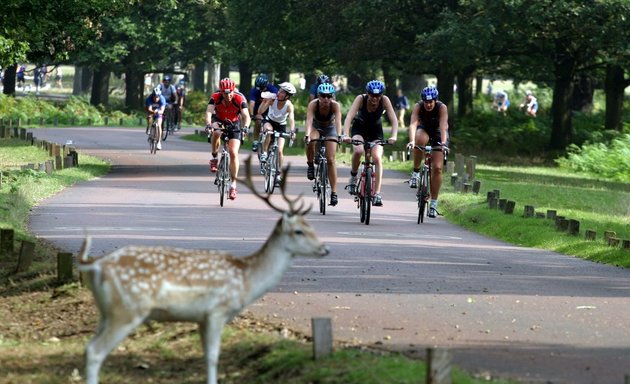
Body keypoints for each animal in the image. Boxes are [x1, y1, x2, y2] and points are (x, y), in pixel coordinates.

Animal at [78, 156, 330, 384]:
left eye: (311, 226)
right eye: (298, 231)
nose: (324, 248)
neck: (247, 279)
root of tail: (96, 266)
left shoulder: (201, 318)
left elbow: (206, 355)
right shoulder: (217, 311)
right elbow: (213, 357)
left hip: (106, 311)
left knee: (89, 346)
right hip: (128, 309)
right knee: (96, 351)